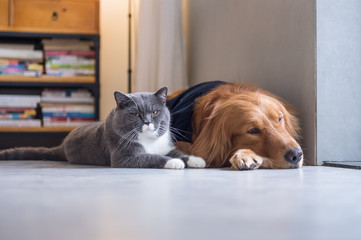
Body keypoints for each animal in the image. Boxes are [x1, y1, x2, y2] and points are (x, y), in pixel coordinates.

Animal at [0, 87, 204, 169]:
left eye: (154, 112)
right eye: (136, 114)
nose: (147, 122)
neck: (148, 142)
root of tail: (62, 145)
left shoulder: (164, 145)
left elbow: (178, 152)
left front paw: (196, 160)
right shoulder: (124, 157)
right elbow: (151, 157)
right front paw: (174, 163)